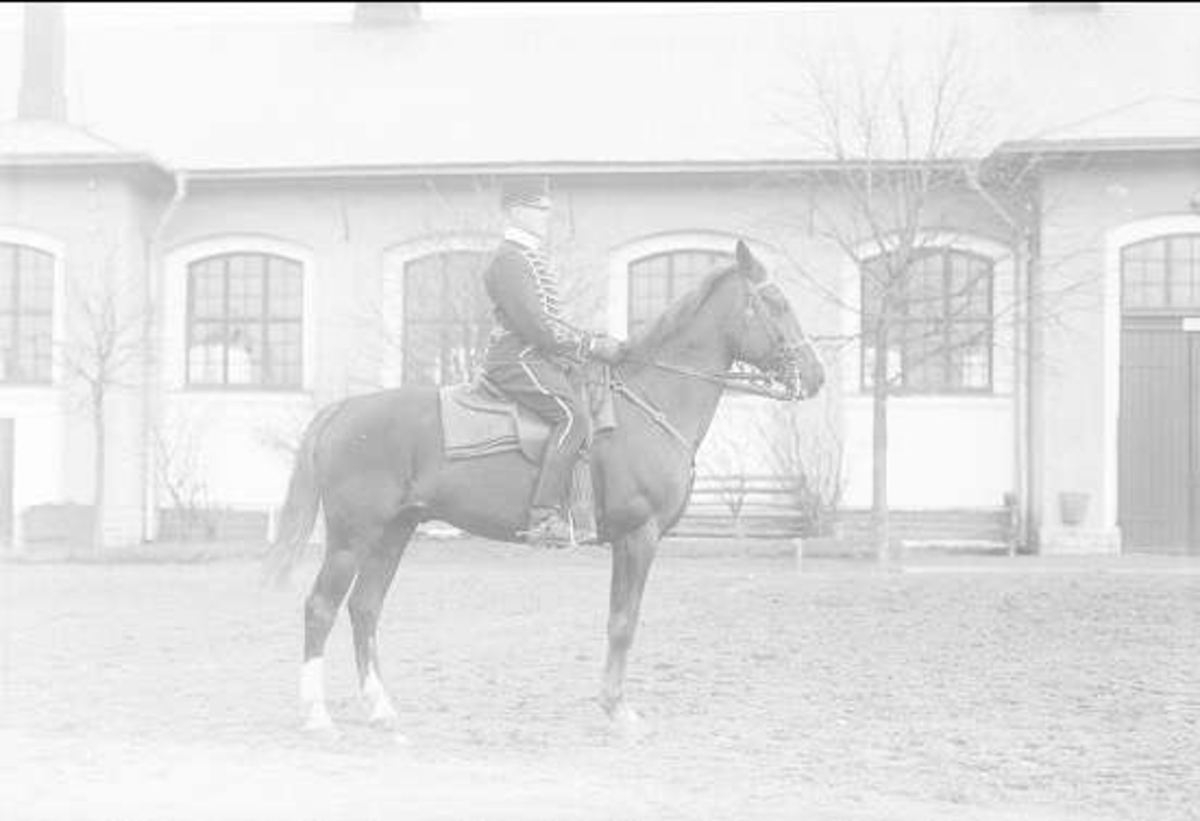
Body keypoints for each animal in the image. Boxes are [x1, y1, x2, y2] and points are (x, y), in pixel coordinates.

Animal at [262, 238, 825, 739]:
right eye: (777, 303)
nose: (816, 375)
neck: (650, 402)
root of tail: (345, 409)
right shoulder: (638, 536)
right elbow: (625, 622)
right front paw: (619, 711)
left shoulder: (627, 542)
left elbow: (616, 619)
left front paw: (612, 704)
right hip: (352, 537)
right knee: (321, 608)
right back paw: (317, 715)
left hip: (394, 532)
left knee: (364, 609)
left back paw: (380, 709)